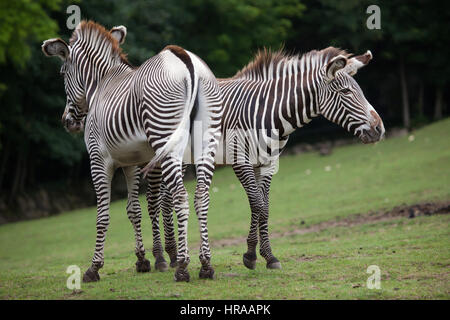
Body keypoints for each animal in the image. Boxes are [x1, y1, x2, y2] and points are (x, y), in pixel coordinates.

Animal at [43, 21, 222, 282]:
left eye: (62, 74)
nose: (67, 122)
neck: (101, 85)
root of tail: (183, 58)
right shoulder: (131, 162)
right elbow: (134, 210)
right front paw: (142, 260)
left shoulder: (98, 160)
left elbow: (103, 215)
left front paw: (94, 268)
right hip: (204, 141)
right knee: (201, 196)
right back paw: (205, 265)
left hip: (164, 136)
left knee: (180, 196)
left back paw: (182, 268)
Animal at [149, 47, 384, 272]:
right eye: (345, 92)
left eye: (360, 91)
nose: (379, 130)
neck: (269, 112)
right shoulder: (240, 161)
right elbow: (257, 204)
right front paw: (251, 255)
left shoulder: (268, 163)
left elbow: (265, 207)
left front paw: (267, 256)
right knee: (154, 201)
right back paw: (158, 259)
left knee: (166, 200)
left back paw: (172, 256)